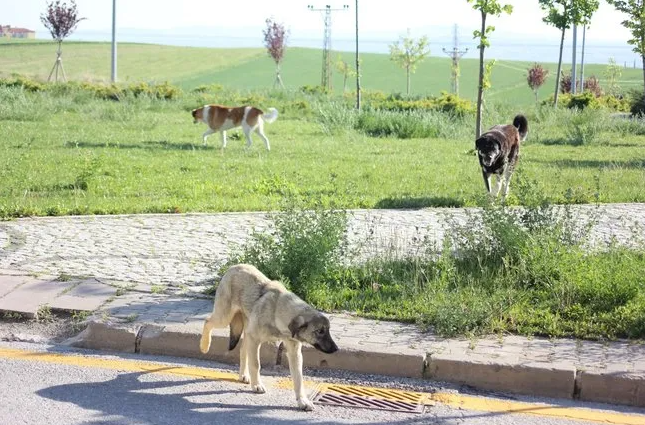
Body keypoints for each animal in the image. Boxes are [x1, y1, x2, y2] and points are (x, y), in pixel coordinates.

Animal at [197, 264, 338, 410]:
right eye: (320, 331)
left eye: (327, 330)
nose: (336, 349)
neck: (277, 311)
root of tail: (235, 266)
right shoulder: (254, 339)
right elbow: (255, 364)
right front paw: (257, 385)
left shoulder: (294, 352)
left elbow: (298, 377)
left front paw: (302, 400)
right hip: (225, 317)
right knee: (207, 321)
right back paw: (204, 346)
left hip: (245, 329)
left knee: (242, 350)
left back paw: (243, 375)